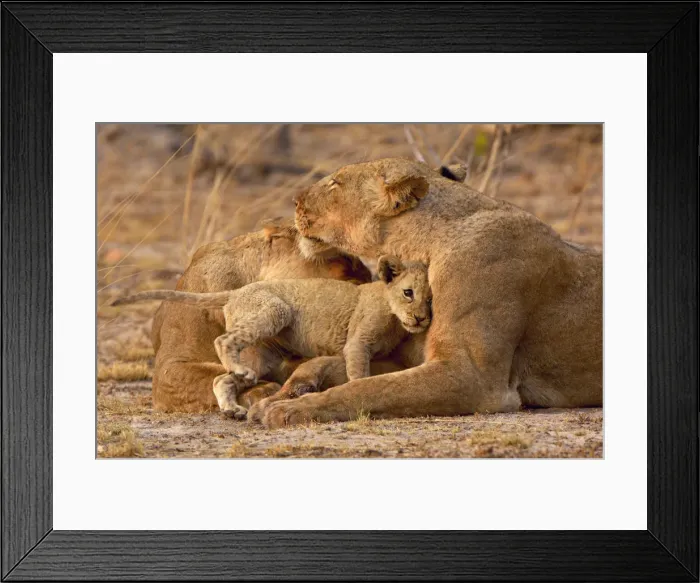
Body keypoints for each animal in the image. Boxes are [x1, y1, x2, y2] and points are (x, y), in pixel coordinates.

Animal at [115, 255, 431, 419]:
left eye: (431, 299)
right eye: (408, 293)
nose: (421, 318)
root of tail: (237, 291)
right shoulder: (357, 343)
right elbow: (358, 374)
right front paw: (355, 390)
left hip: (262, 355)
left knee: (221, 379)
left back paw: (232, 407)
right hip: (276, 310)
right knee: (222, 341)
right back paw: (236, 376)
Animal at [254, 157, 602, 428]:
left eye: (335, 184)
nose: (295, 201)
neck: (422, 246)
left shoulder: (472, 377)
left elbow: (367, 389)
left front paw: (290, 409)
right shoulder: (410, 357)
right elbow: (337, 369)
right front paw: (276, 397)